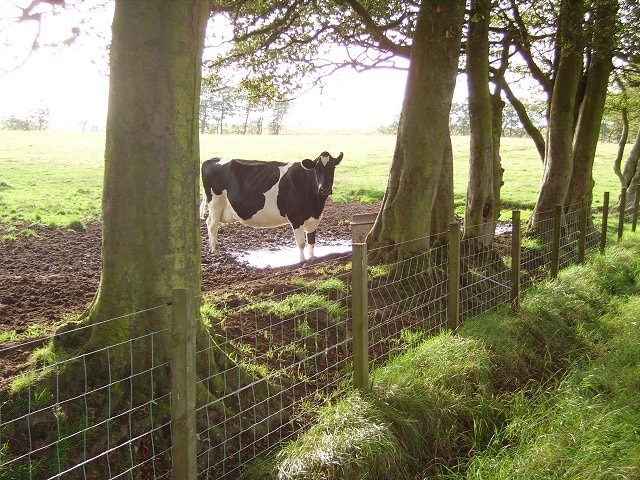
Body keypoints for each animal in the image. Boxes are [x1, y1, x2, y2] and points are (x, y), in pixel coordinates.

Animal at [200, 151, 342, 260]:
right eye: (316, 169)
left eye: (333, 168)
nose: (324, 188)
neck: (316, 205)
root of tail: (212, 159)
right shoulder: (296, 218)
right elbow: (301, 244)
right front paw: (302, 262)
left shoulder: (314, 219)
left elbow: (311, 242)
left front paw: (312, 258)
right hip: (215, 203)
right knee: (212, 224)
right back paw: (215, 250)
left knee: (209, 222)